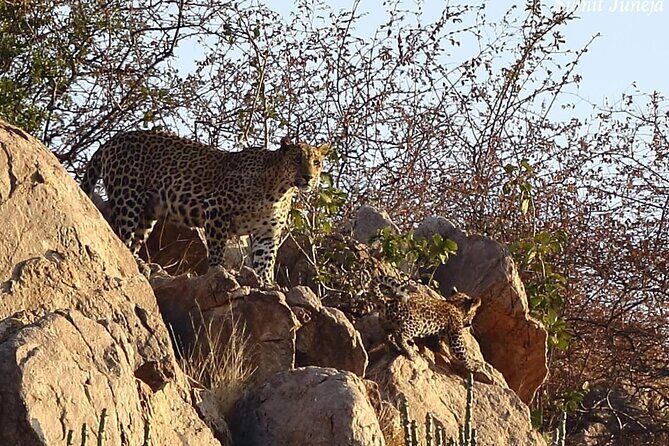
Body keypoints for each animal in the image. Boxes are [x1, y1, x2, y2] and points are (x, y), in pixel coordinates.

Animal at [80, 130, 329, 284]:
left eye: (316, 162)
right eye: (297, 160)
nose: (308, 177)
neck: (280, 189)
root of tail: (113, 140)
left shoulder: (266, 233)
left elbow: (265, 262)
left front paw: (267, 284)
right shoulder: (217, 210)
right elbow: (217, 250)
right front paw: (218, 272)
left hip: (147, 213)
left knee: (132, 242)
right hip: (128, 201)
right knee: (117, 236)